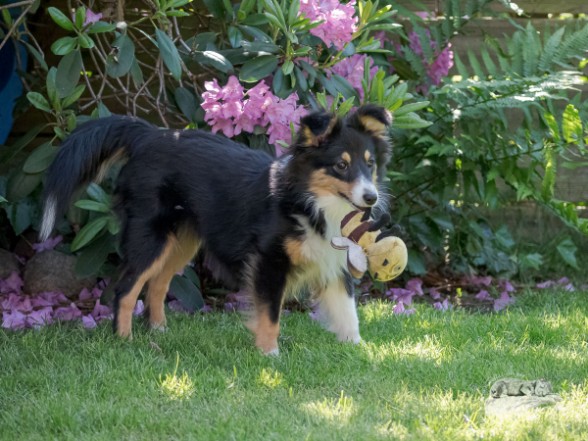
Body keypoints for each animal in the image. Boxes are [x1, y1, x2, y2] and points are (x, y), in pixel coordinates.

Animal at [40, 104, 390, 354]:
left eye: (370, 163)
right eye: (341, 165)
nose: (371, 197)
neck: (311, 200)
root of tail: (149, 135)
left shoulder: (334, 261)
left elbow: (347, 310)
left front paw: (358, 349)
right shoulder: (269, 261)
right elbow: (270, 314)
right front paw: (269, 354)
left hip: (182, 240)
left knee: (157, 284)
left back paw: (159, 331)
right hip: (150, 235)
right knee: (126, 288)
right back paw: (124, 340)